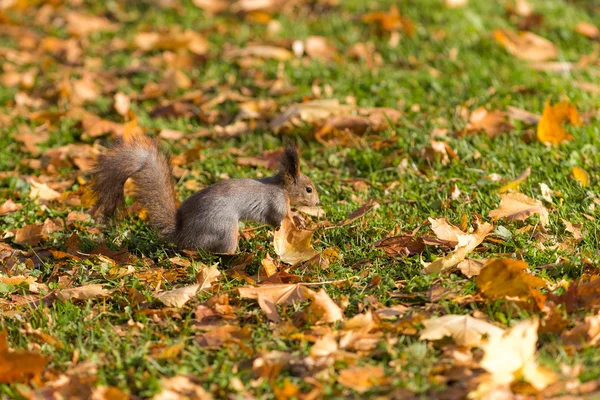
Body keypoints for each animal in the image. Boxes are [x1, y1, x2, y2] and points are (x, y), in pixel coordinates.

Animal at [89, 134, 322, 253]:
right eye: (308, 189)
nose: (318, 202)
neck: (281, 187)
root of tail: (182, 235)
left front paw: (300, 218)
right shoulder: (276, 201)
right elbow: (278, 218)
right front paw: (295, 217)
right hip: (223, 228)